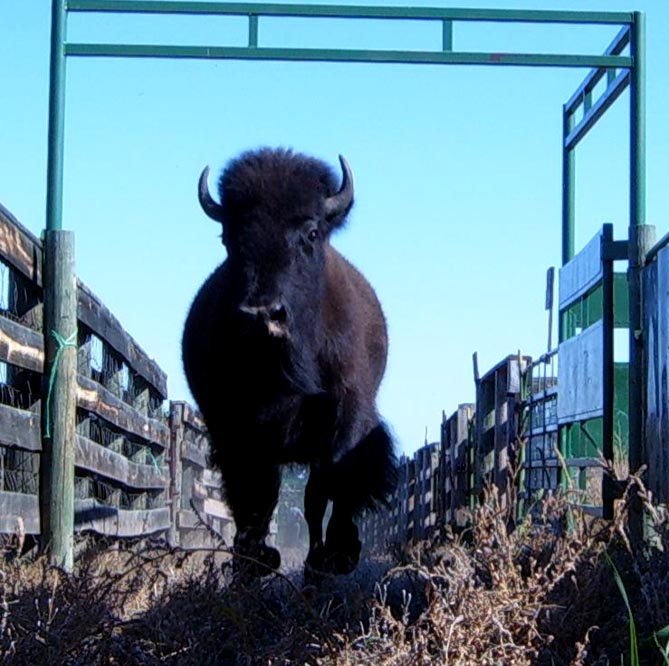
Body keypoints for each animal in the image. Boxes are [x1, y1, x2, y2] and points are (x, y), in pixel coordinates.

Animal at [181, 148, 396, 572]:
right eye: (229, 237)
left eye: (311, 234)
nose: (263, 313)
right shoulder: (233, 429)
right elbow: (255, 499)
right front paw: (254, 558)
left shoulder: (346, 415)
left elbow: (328, 488)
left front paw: (335, 554)